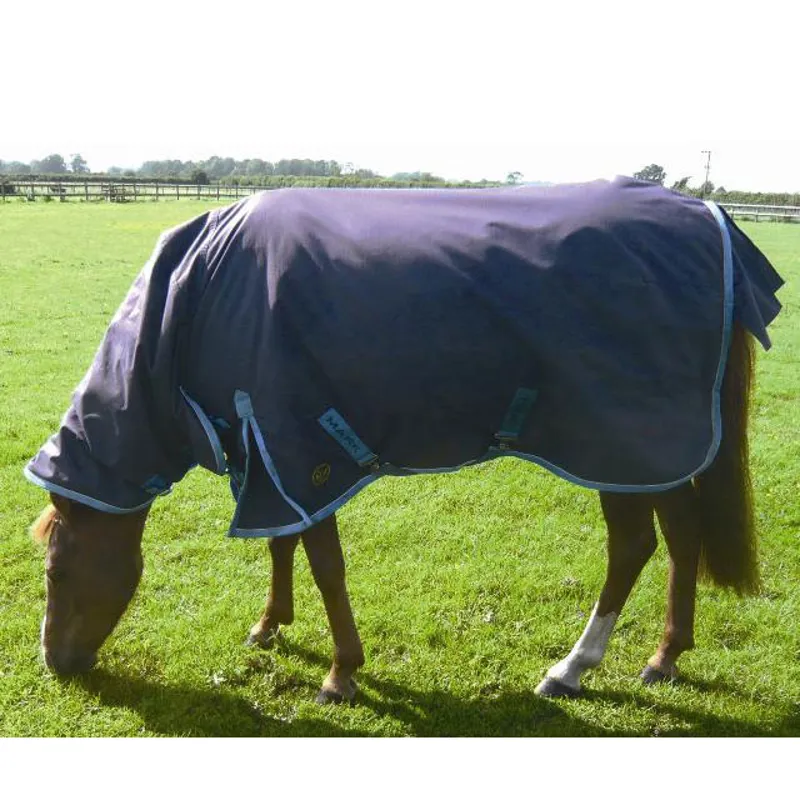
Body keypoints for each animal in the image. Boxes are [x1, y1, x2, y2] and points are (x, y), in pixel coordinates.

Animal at [26, 179, 783, 704]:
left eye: (57, 572)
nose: (55, 665)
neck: (202, 292)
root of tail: (707, 216)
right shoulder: (267, 453)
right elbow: (281, 544)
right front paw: (271, 626)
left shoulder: (302, 450)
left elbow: (325, 564)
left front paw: (340, 673)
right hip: (650, 453)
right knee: (680, 538)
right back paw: (665, 657)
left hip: (618, 445)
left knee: (633, 547)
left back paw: (573, 668)